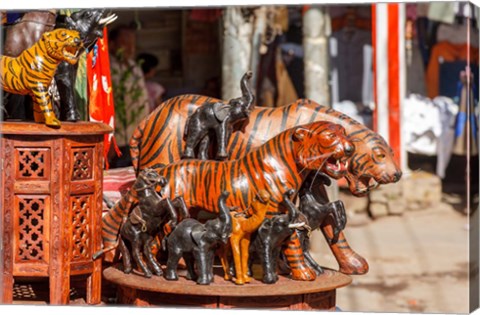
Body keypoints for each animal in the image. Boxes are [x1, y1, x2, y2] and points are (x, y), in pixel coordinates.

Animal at [102, 121, 352, 282]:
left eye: (345, 134)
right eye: (330, 136)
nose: (350, 148)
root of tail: (163, 169)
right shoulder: (277, 214)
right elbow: (292, 244)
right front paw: (303, 273)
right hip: (164, 219)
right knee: (153, 245)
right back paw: (155, 272)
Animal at [124, 95, 402, 278]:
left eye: (390, 152)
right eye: (380, 155)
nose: (398, 173)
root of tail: (148, 117)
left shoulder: (311, 181)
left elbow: (328, 221)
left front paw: (350, 262)